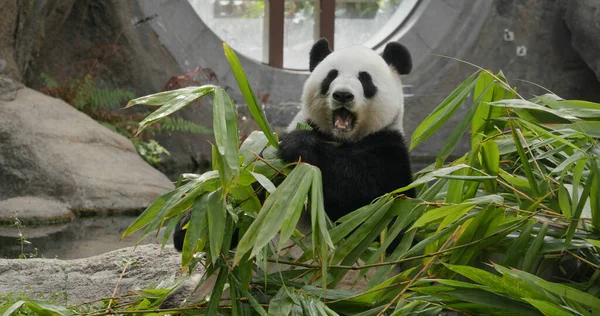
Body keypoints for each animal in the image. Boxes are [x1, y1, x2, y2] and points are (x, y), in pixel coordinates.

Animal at [173, 39, 414, 252]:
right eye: (331, 76)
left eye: (365, 79)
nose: (343, 95)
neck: (340, 139)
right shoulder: (271, 157)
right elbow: (251, 190)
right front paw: (193, 224)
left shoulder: (388, 150)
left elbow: (371, 206)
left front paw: (301, 146)